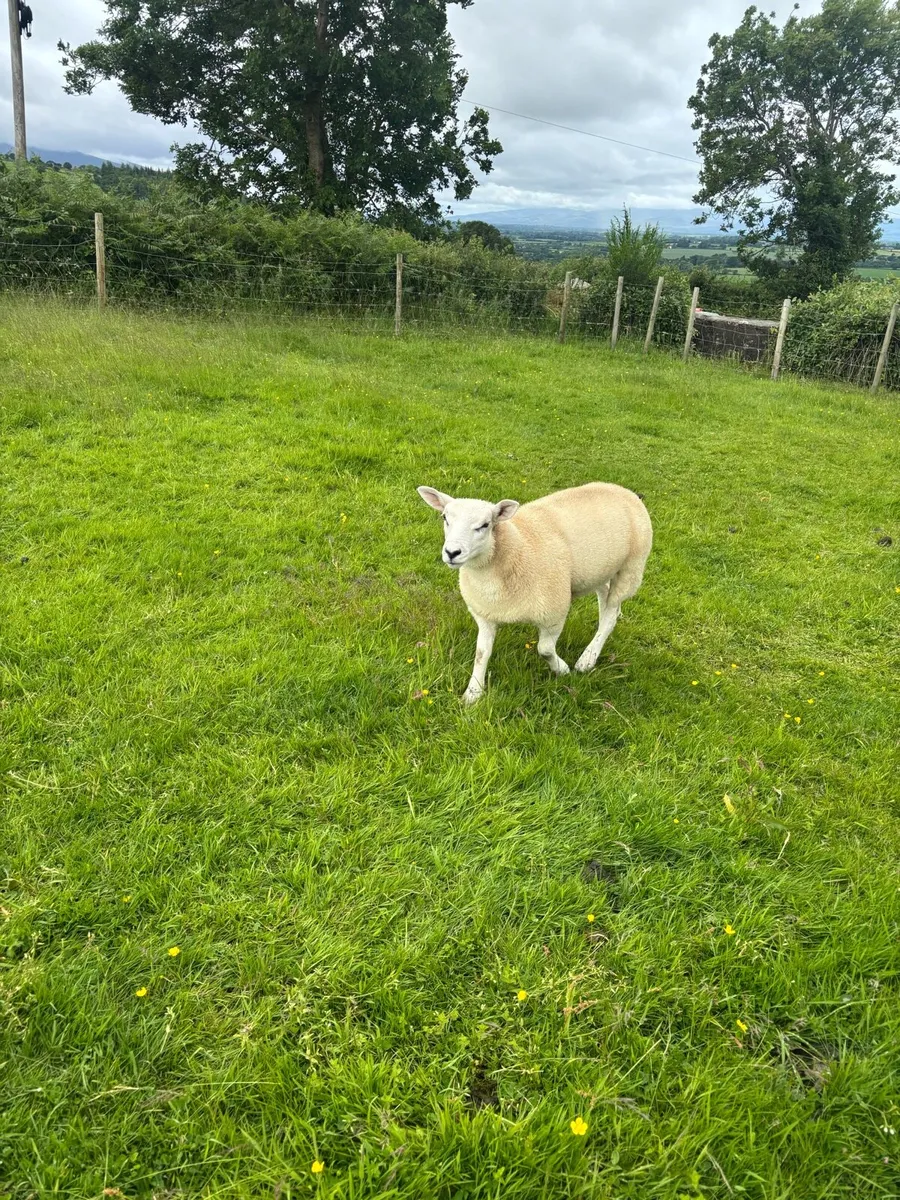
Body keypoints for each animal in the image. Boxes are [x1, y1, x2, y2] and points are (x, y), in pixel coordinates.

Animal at [417, 482, 652, 704]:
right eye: (445, 518)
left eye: (485, 525)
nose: (452, 552)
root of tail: (623, 490)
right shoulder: (485, 613)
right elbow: (481, 653)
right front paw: (473, 693)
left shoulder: (553, 614)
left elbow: (544, 650)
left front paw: (562, 669)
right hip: (597, 572)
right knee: (604, 597)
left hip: (631, 568)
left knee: (611, 614)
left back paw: (588, 658)